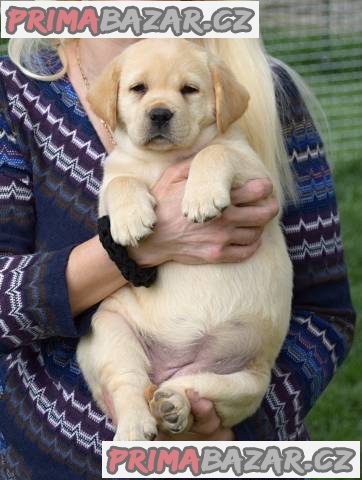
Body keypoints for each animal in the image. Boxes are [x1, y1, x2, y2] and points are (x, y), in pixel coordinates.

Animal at [77, 39, 294, 440]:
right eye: (138, 88)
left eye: (189, 90)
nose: (160, 114)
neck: (165, 158)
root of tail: (171, 369)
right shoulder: (111, 180)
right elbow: (121, 182)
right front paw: (130, 220)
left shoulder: (257, 175)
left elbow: (214, 150)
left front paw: (201, 195)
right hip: (109, 331)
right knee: (129, 384)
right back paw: (136, 425)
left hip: (247, 384)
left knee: (194, 388)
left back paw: (173, 405)